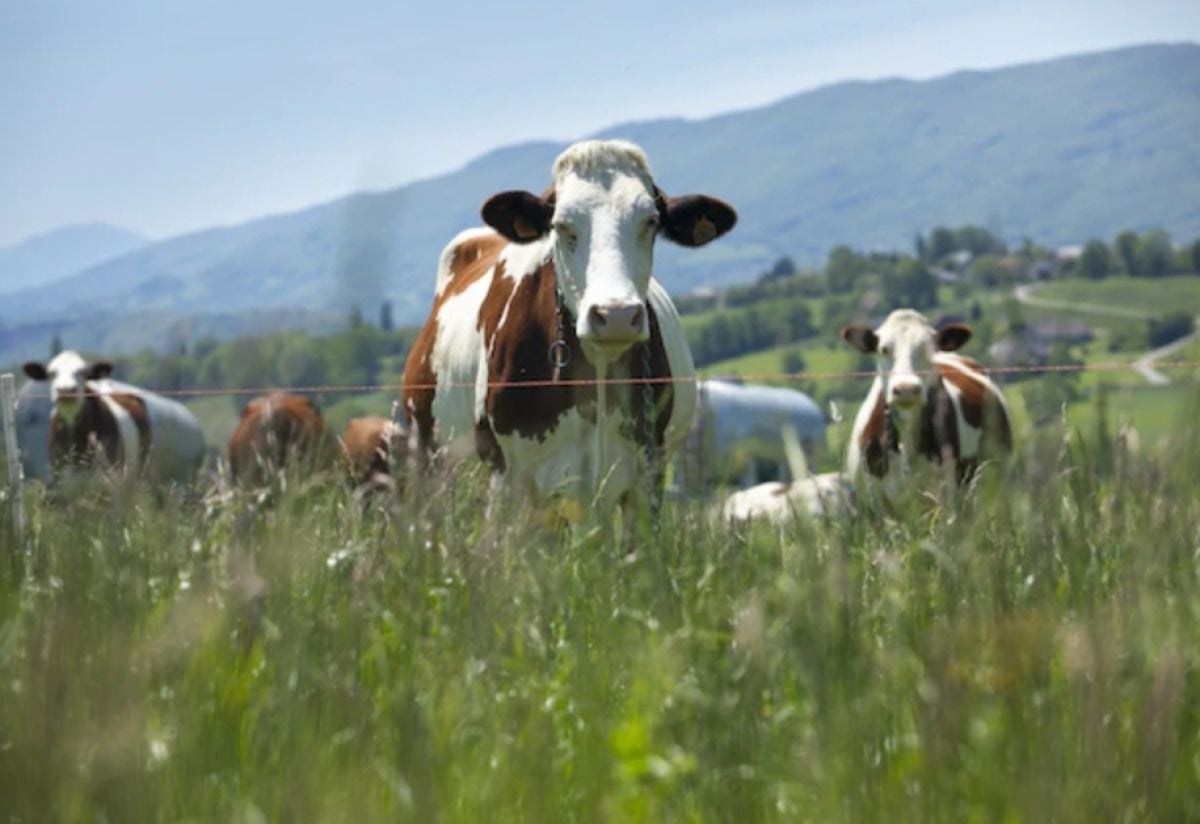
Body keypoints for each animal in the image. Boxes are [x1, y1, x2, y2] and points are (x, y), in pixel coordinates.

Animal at [403, 138, 734, 513]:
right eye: (561, 225)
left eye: (650, 221)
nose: (616, 315)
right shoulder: (506, 474)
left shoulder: (647, 471)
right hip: (431, 468)